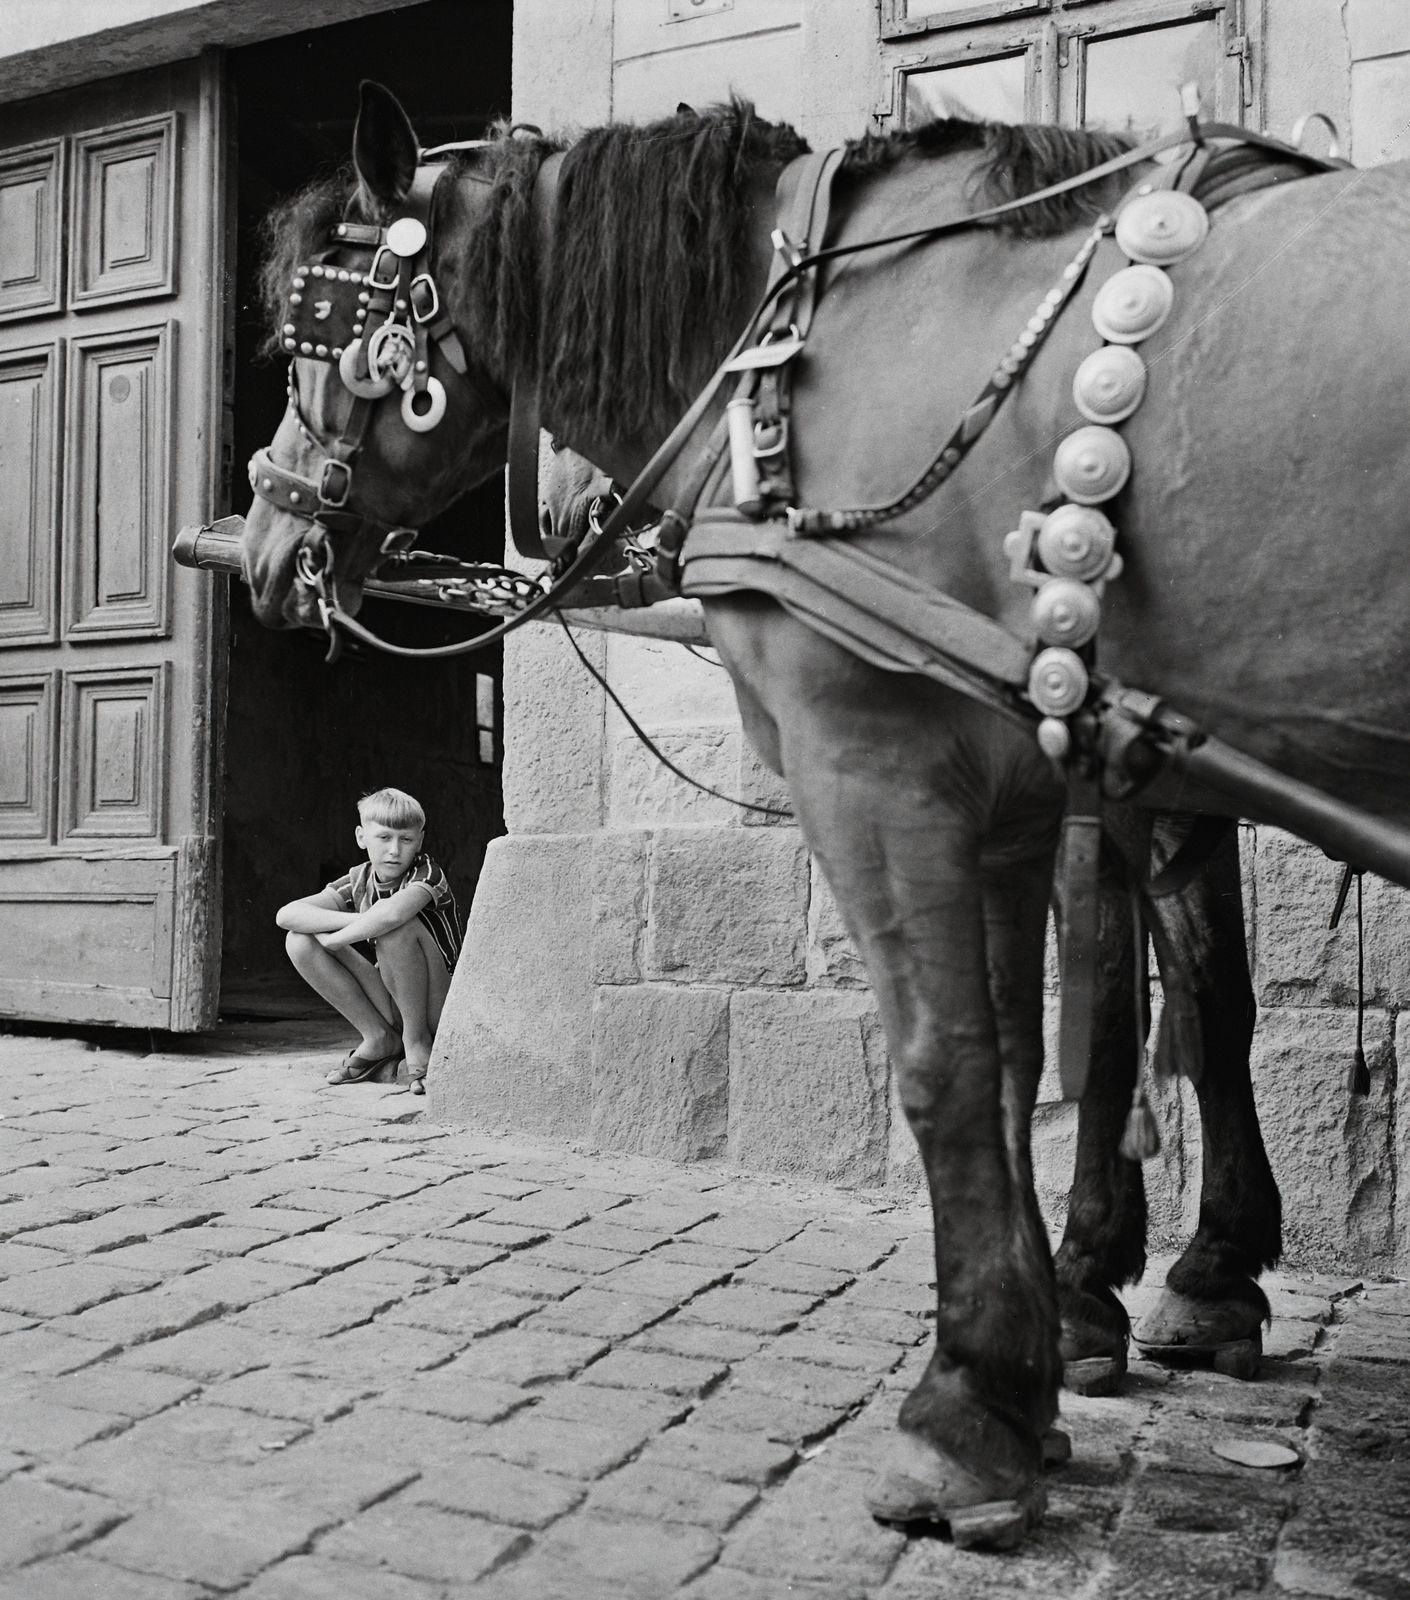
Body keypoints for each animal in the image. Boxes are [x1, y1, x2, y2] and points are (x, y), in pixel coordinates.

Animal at [233, 84, 1408, 1536]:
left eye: (315, 337)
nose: (267, 545)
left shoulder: (879, 762)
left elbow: (963, 1060)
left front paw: (976, 1398)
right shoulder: (1023, 789)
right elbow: (1056, 1041)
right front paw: (1068, 1325)